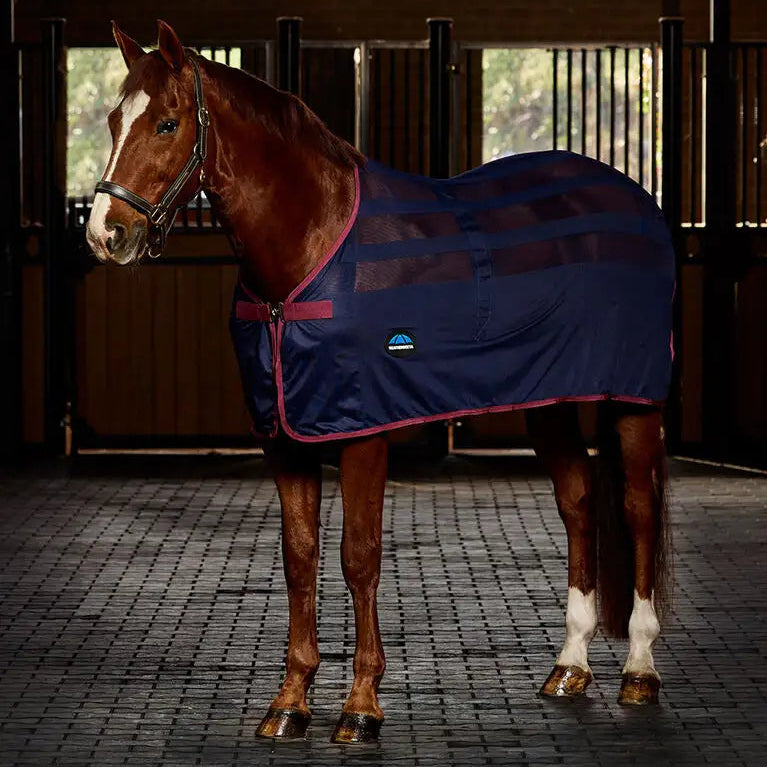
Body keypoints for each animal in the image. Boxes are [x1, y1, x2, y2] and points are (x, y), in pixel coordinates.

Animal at [86, 19, 673, 744]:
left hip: (635, 399)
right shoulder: (284, 436)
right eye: (114, 120)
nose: (106, 233)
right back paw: (570, 666)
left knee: (638, 509)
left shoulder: (363, 430)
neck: (308, 246)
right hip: (551, 400)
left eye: (168, 123)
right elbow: (299, 556)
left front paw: (361, 705)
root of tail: (632, 197)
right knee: (579, 501)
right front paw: (289, 702)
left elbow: (357, 556)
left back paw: (639, 670)